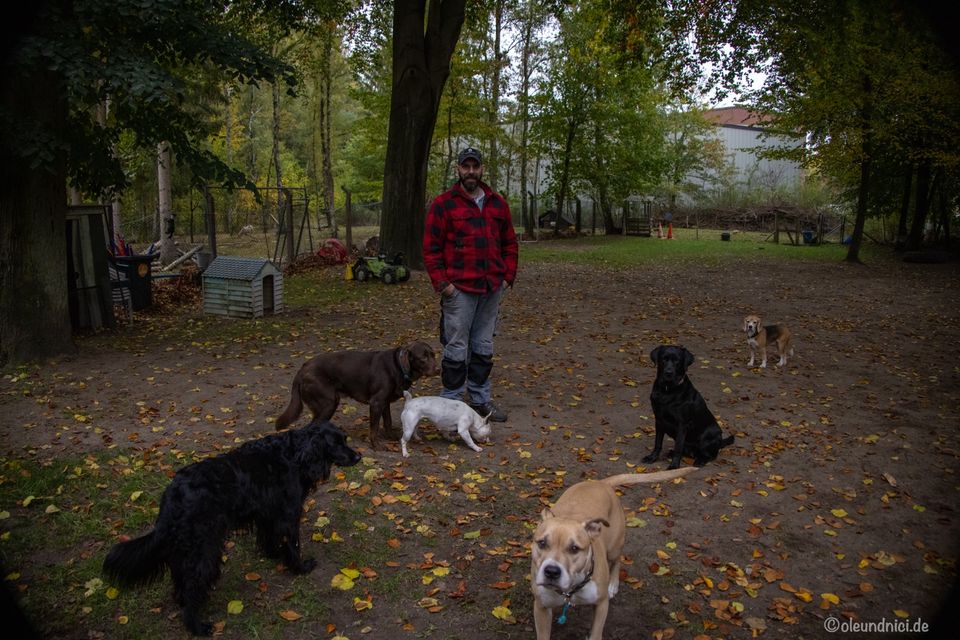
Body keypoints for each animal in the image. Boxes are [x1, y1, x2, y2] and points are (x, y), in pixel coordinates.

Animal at [532, 464, 696, 640]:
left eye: (574, 548)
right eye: (542, 543)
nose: (551, 571)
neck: (571, 589)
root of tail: (601, 483)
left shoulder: (602, 604)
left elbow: (596, 633)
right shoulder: (541, 608)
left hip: (614, 547)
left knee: (617, 561)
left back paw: (613, 585)